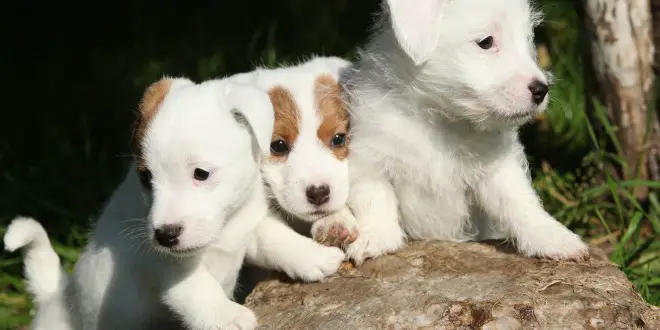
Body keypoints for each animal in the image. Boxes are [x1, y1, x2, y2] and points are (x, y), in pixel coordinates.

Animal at [340, 0, 588, 264]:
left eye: (528, 38)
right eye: (486, 42)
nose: (542, 90)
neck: (439, 120)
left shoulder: (497, 170)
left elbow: (520, 201)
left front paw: (552, 238)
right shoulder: (370, 159)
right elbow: (375, 198)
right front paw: (375, 237)